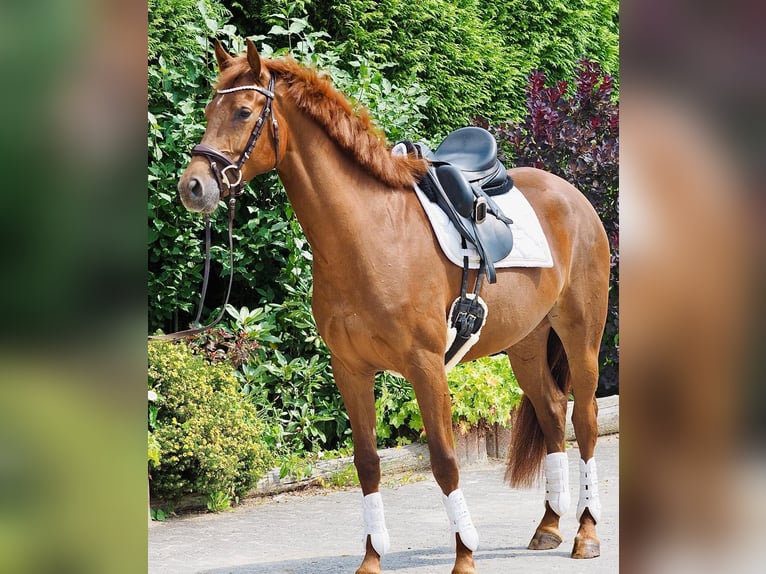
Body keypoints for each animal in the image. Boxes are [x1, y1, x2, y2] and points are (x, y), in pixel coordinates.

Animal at [177, 39, 610, 574]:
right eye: (207, 111)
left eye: (242, 111)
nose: (193, 186)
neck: (368, 235)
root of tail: (574, 198)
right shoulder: (350, 368)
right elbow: (367, 462)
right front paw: (371, 558)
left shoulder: (426, 366)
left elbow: (444, 460)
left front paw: (465, 555)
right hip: (526, 343)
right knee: (551, 412)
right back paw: (548, 526)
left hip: (581, 335)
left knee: (584, 421)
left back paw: (586, 534)